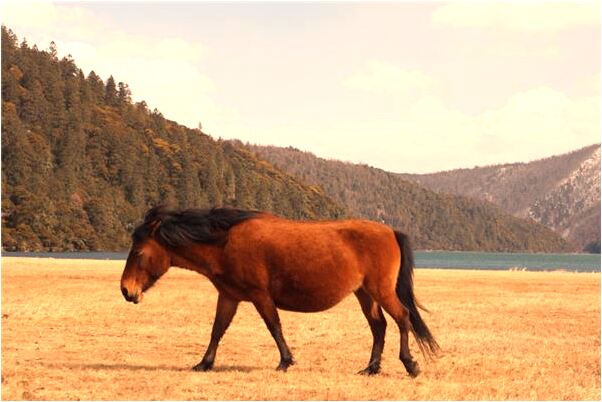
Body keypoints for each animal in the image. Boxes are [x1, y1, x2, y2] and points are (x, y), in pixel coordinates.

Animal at [119, 207, 438, 376]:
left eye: (139, 253)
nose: (126, 290)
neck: (224, 243)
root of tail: (390, 231)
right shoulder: (229, 296)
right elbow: (217, 330)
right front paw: (204, 363)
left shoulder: (260, 296)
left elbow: (274, 326)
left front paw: (285, 361)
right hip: (365, 294)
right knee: (379, 326)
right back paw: (371, 367)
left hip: (380, 291)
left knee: (402, 318)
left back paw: (409, 364)